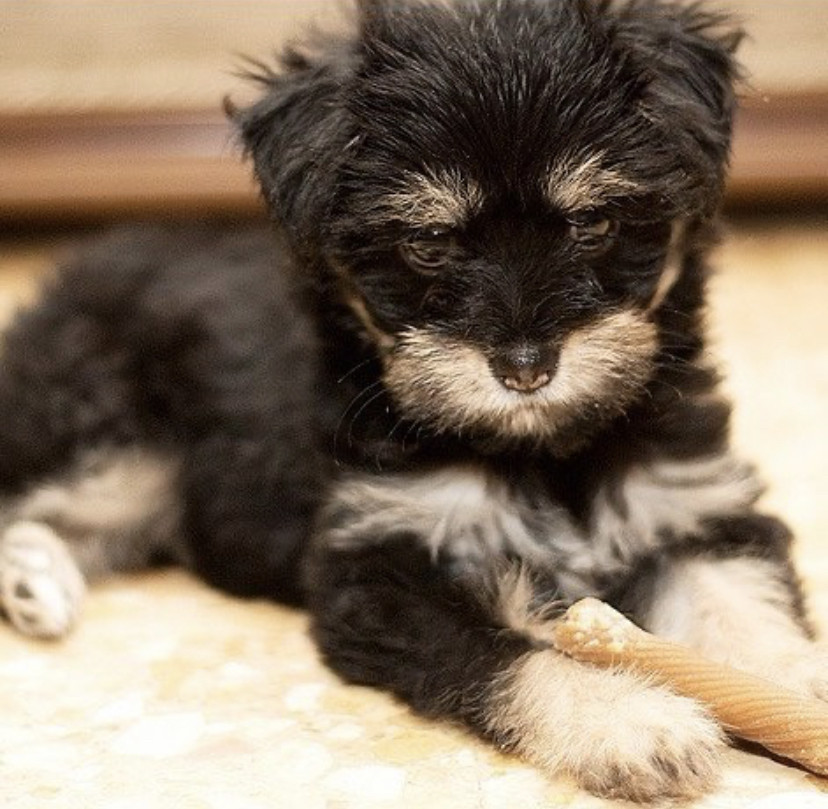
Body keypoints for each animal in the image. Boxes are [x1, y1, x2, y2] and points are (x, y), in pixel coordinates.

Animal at [1, 0, 825, 801]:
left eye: (594, 223)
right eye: (429, 243)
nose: (526, 367)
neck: (540, 449)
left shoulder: (693, 505)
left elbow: (743, 606)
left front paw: (803, 693)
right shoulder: (382, 569)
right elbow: (508, 653)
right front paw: (627, 720)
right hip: (109, 434)